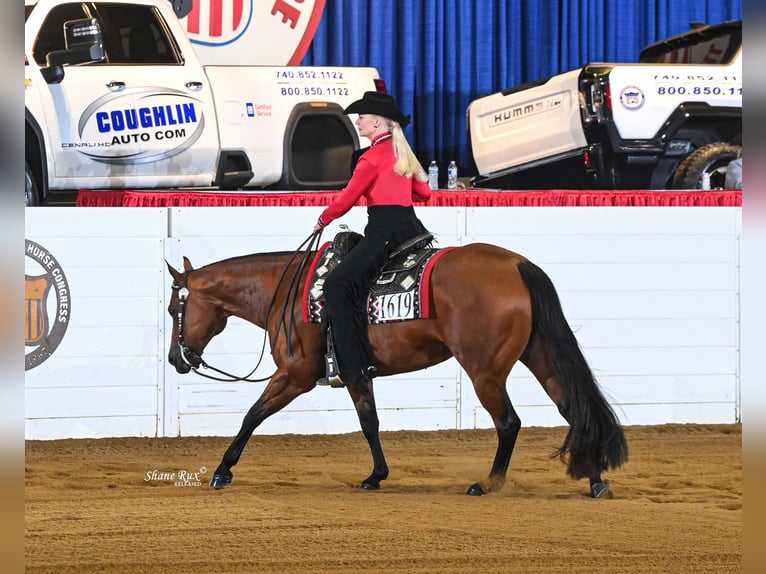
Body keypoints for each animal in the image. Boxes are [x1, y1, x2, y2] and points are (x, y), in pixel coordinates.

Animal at [166, 241, 628, 497]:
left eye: (173, 309)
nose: (175, 359)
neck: (291, 292)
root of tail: (517, 265)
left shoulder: (294, 376)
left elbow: (252, 415)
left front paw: (222, 471)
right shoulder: (355, 373)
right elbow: (369, 422)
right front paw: (376, 476)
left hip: (485, 373)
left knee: (509, 423)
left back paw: (487, 484)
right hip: (541, 358)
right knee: (575, 410)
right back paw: (595, 480)